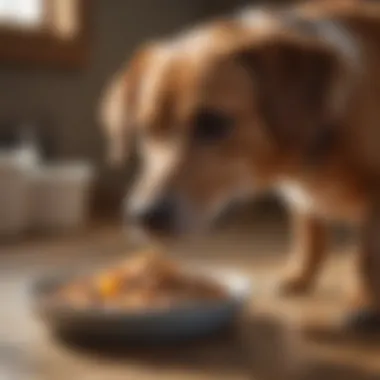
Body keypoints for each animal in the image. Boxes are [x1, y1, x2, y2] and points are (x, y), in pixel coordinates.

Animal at [100, 0, 380, 328]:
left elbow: (366, 258)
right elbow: (310, 236)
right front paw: (299, 277)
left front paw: (366, 303)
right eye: (146, 128)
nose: (144, 216)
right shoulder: (302, 203)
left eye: (213, 123)